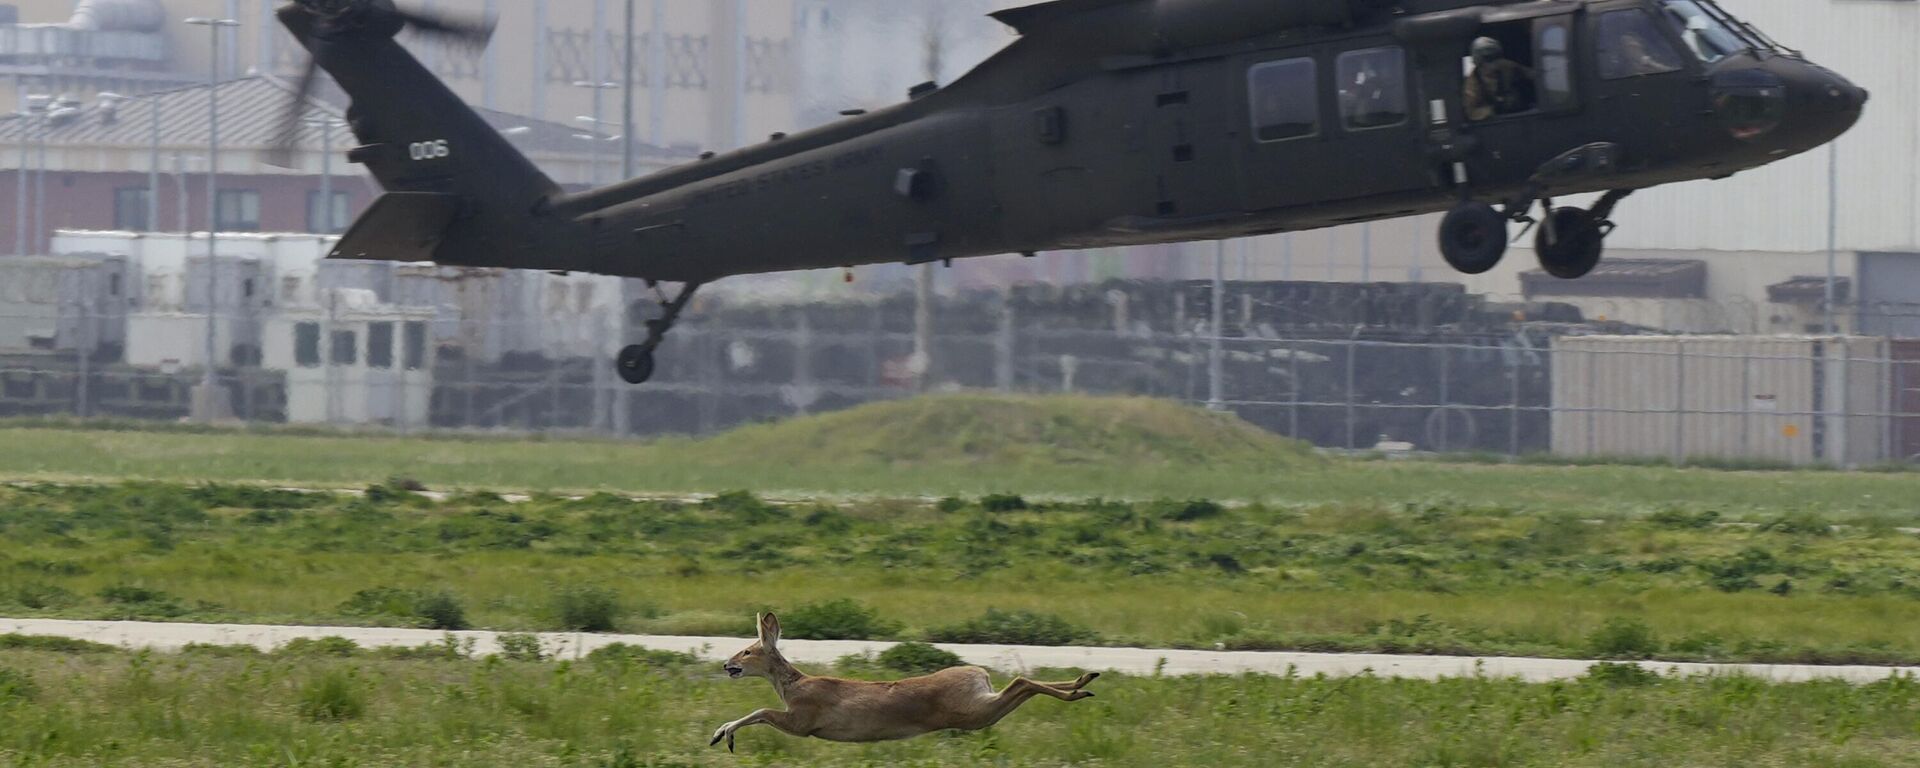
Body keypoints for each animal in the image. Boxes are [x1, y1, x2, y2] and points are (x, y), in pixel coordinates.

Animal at [706, 614, 1098, 752]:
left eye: (747, 650)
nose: (727, 665)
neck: (792, 685)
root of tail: (979, 673)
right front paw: (720, 734)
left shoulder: (802, 720)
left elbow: (761, 710)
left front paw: (722, 735)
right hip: (979, 709)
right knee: (1019, 685)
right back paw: (1084, 681)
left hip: (972, 711)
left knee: (1020, 680)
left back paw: (1083, 686)